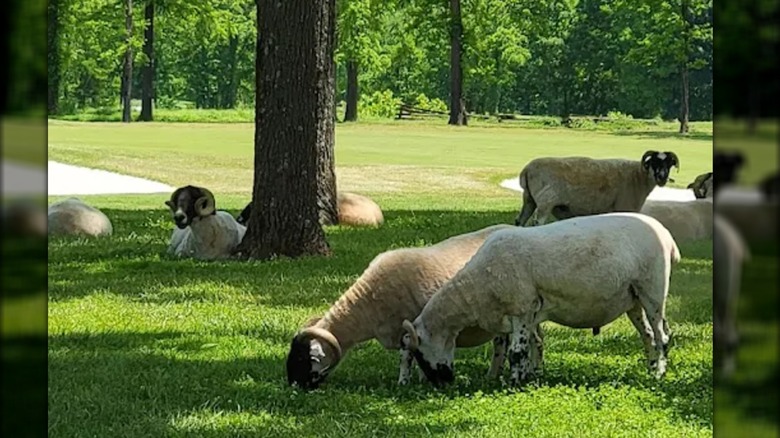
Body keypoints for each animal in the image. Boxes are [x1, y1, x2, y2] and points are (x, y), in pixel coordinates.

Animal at [285, 223, 540, 389]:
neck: (367, 305)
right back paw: (494, 374)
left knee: (535, 340)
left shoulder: (409, 327)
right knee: (503, 343)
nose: (293, 386)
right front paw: (419, 379)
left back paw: (533, 371)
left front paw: (405, 382)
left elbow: (406, 356)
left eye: (302, 359)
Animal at [402, 212, 680, 387]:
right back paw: (650, 367)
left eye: (419, 352)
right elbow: (527, 349)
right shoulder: (525, 315)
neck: (477, 285)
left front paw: (514, 383)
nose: (442, 384)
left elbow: (517, 352)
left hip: (653, 288)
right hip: (633, 298)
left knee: (662, 336)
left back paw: (659, 373)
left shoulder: (522, 309)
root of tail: (667, 237)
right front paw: (527, 377)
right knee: (648, 335)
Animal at [514, 150, 680, 226]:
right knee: (537, 223)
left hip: (529, 199)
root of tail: (527, 169)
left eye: (668, 164)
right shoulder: (624, 207)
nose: (662, 177)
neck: (639, 176)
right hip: (545, 202)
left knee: (520, 220)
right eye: (654, 163)